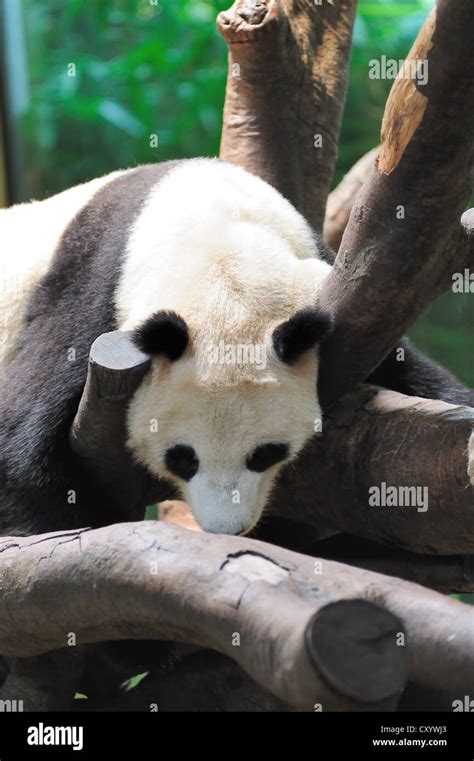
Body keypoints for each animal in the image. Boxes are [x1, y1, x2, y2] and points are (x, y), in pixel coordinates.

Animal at [0, 157, 474, 536]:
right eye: (182, 459)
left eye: (265, 454)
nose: (227, 529)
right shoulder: (94, 297)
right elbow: (19, 437)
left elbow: (410, 372)